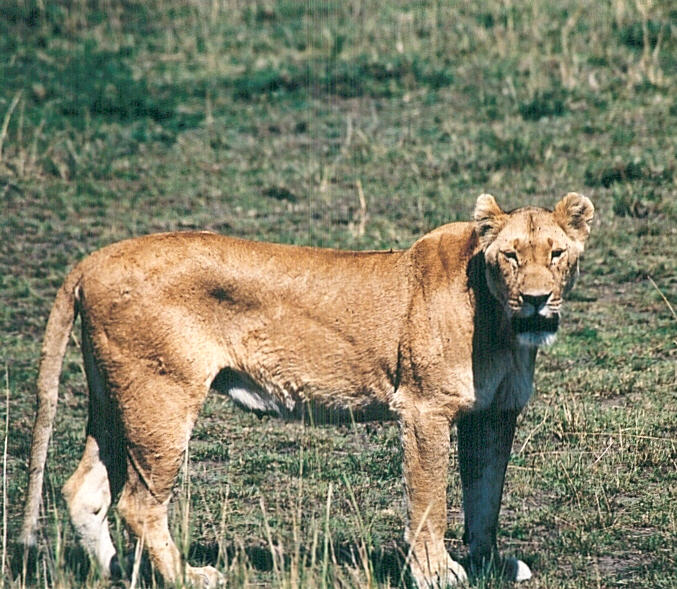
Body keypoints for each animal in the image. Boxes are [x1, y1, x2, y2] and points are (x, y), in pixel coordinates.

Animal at [21, 193, 594, 587]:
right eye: (511, 257)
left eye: (557, 254)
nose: (537, 300)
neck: (502, 326)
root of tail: (93, 259)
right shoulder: (423, 409)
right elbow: (430, 497)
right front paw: (436, 572)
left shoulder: (493, 413)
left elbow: (485, 494)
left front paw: (489, 564)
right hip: (161, 397)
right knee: (138, 503)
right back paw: (188, 576)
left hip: (114, 397)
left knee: (84, 490)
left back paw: (117, 571)